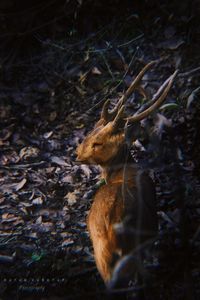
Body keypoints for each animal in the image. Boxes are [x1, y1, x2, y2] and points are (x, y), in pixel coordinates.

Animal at [76, 61, 177, 286]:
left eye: (97, 142)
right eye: (90, 132)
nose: (78, 154)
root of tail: (109, 231)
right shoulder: (150, 232)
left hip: (103, 254)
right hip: (129, 249)